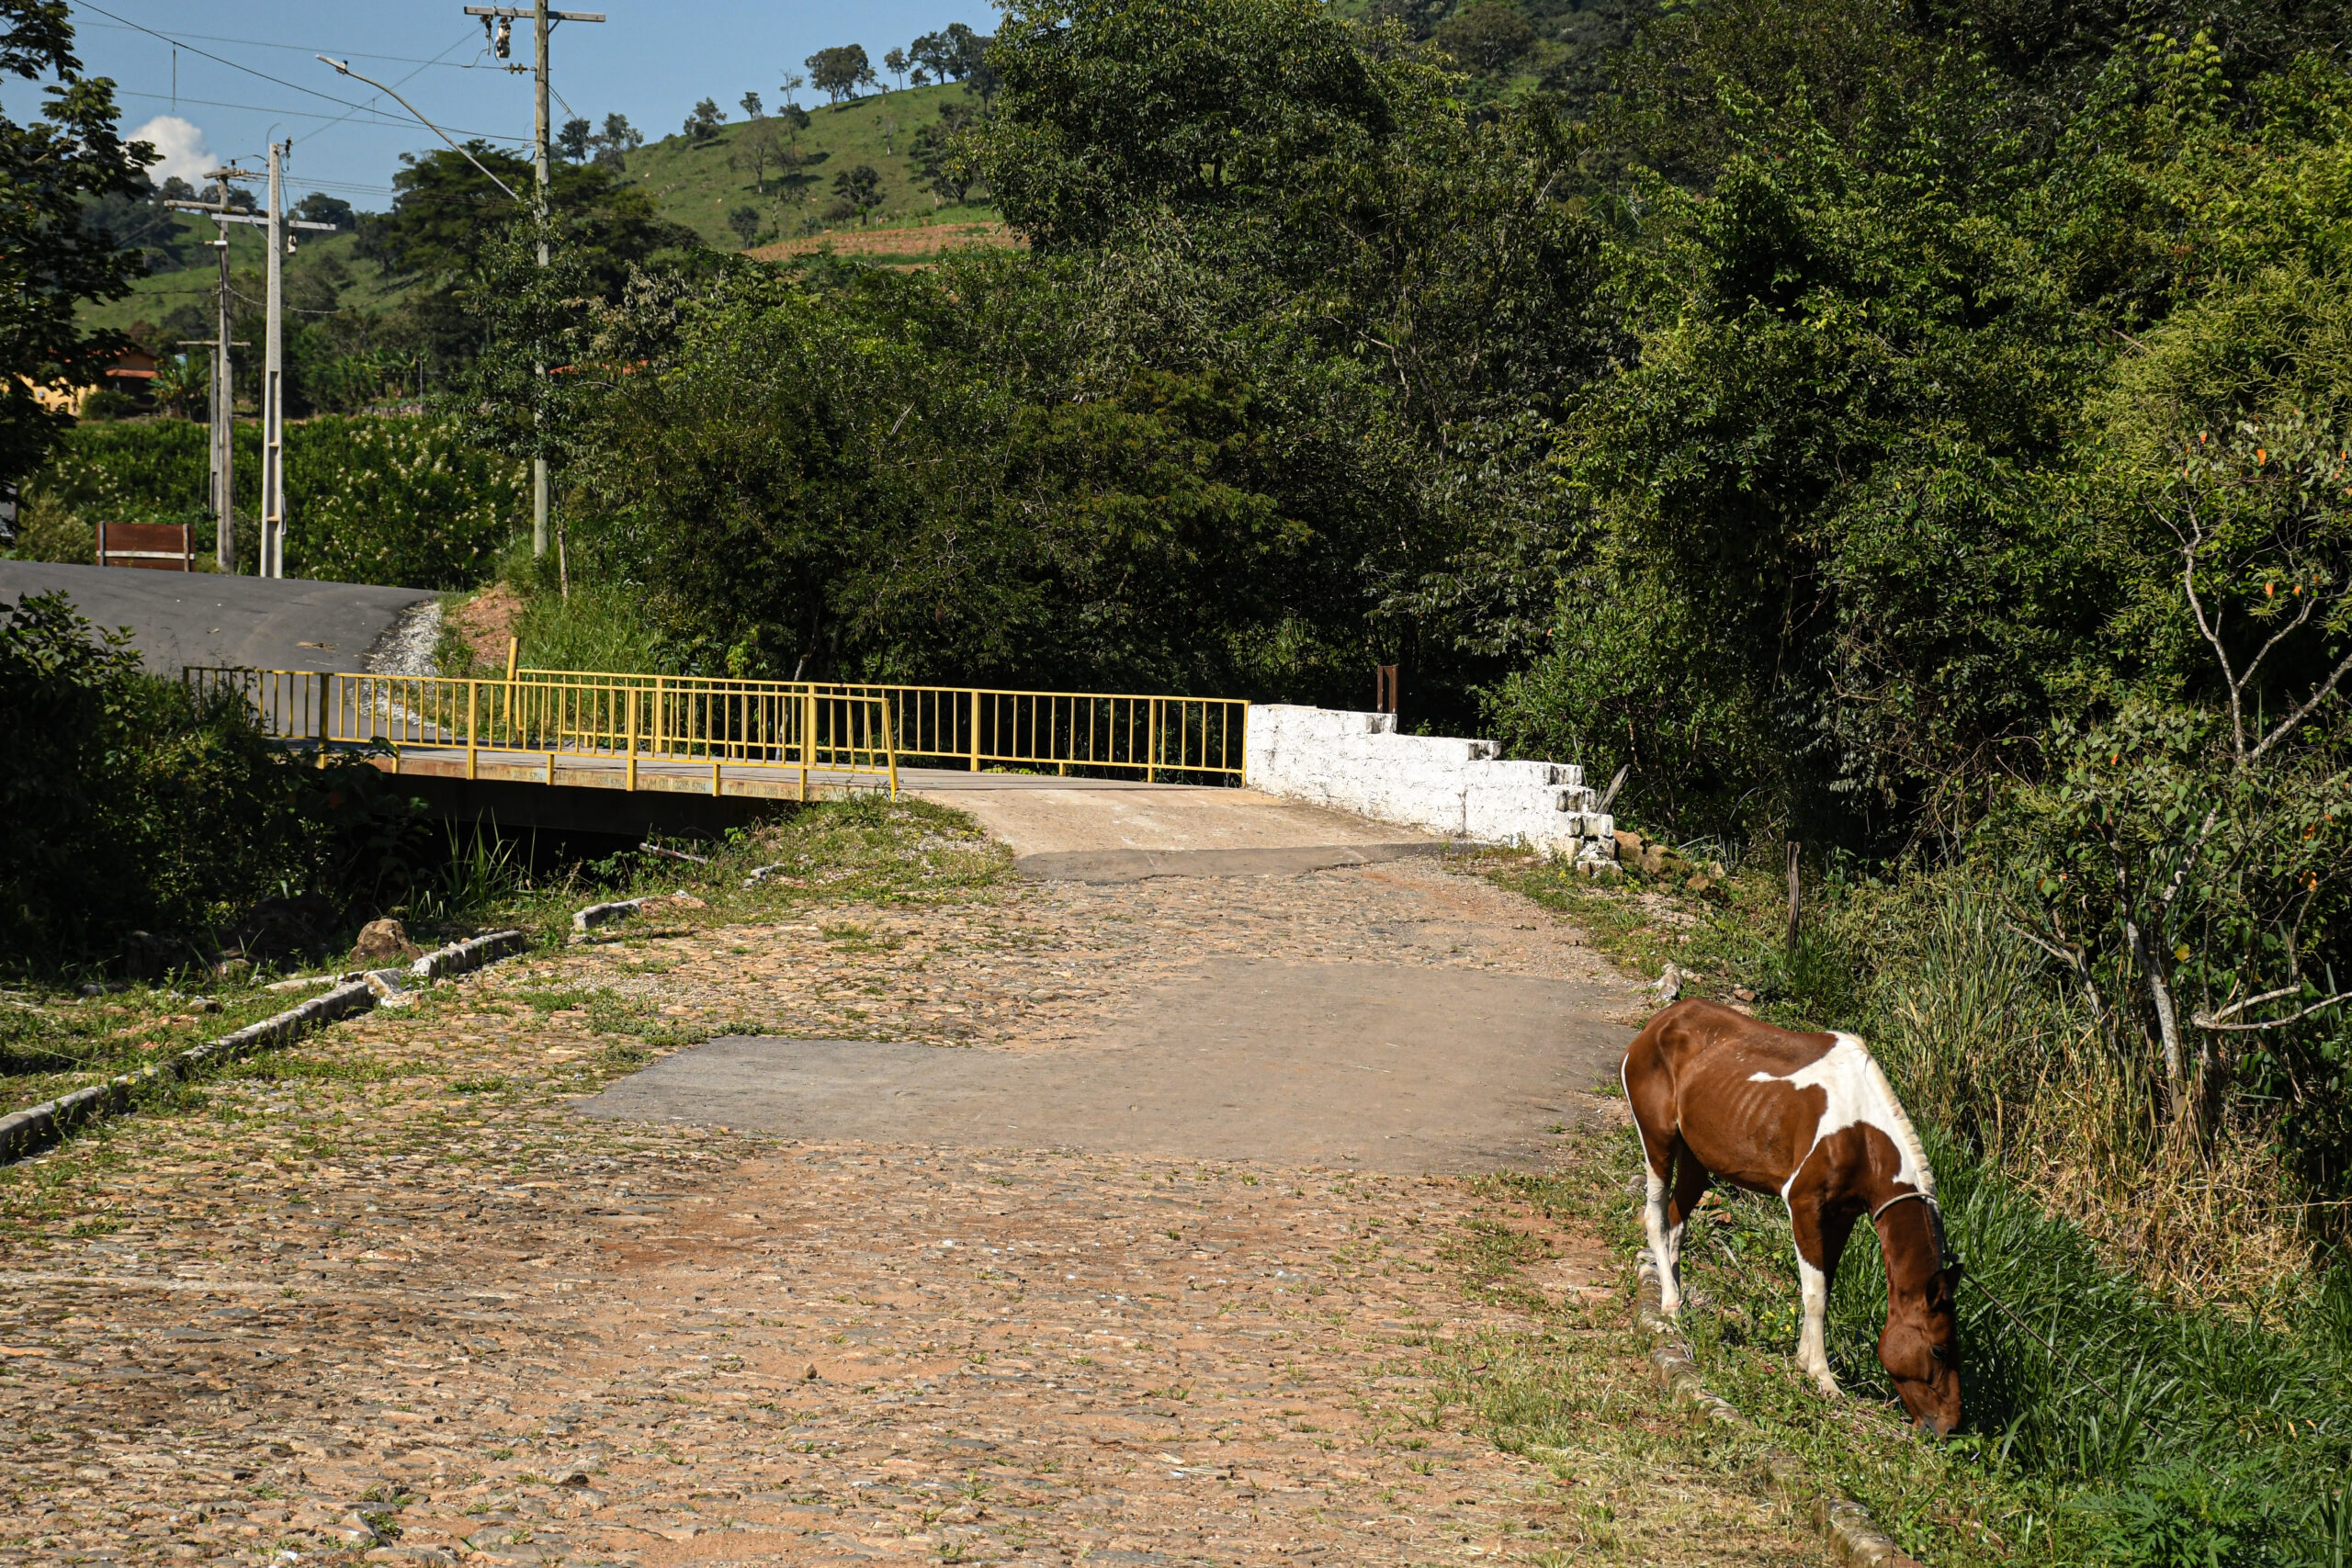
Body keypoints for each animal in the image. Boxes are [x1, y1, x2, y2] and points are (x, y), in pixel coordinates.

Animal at [1621, 998, 1963, 1436]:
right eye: (1939, 1349)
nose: (1950, 1426)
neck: (1862, 1135)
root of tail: (1657, 1024)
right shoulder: (1804, 1205)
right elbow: (1814, 1292)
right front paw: (1822, 1376)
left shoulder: (1841, 1216)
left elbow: (1824, 1287)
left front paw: (1804, 1361)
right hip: (1658, 1142)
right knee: (1655, 1218)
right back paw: (1668, 1303)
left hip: (1697, 1159)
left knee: (1677, 1223)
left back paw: (1678, 1305)